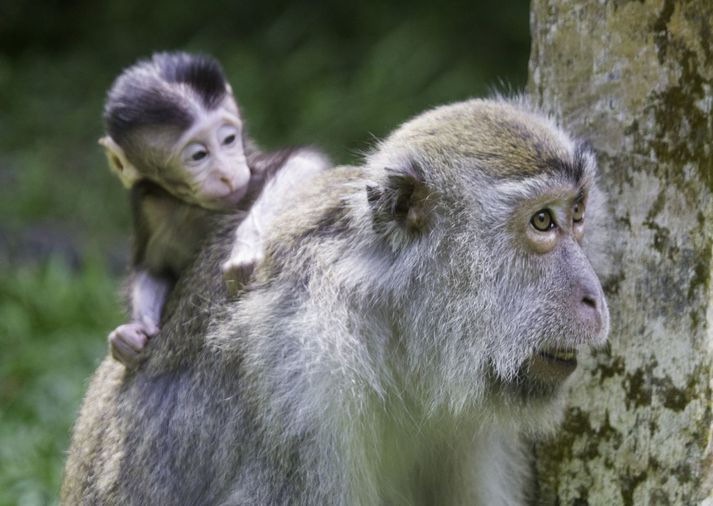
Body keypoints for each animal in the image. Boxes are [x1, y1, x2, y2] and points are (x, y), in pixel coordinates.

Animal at [100, 51, 330, 368]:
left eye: (229, 139)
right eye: (198, 155)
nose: (226, 174)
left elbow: (305, 160)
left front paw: (247, 245)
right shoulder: (148, 205)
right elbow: (153, 268)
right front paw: (130, 335)